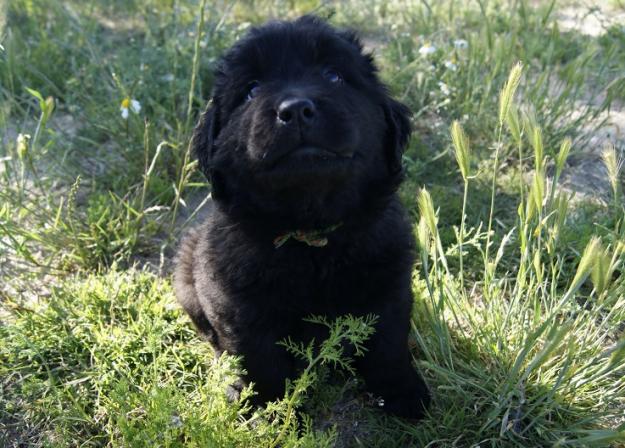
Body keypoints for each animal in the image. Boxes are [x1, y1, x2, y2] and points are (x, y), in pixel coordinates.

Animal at [176, 14, 428, 420]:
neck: (310, 237)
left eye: (333, 76)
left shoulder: (390, 287)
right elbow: (259, 359)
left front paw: (404, 395)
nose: (295, 109)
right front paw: (269, 409)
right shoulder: (235, 304)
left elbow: (388, 346)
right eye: (251, 90)